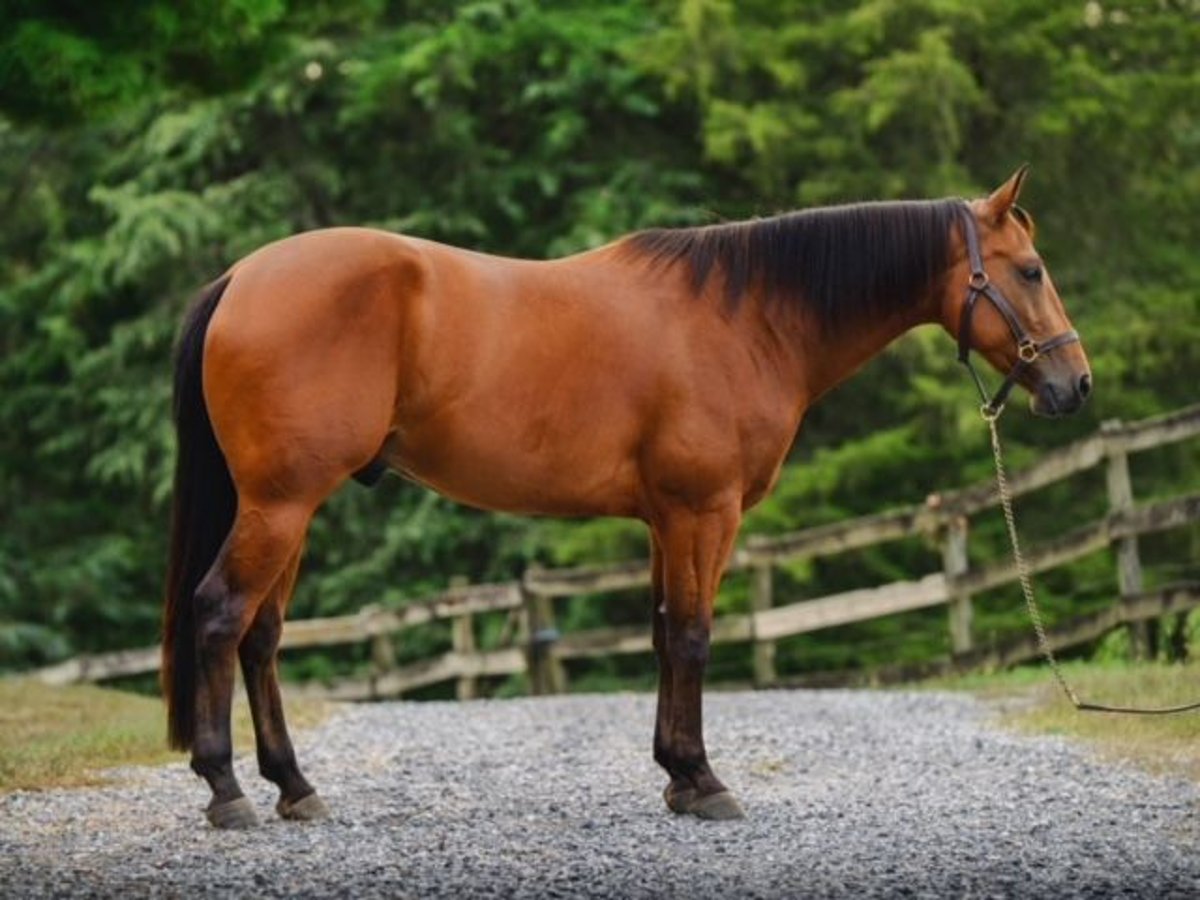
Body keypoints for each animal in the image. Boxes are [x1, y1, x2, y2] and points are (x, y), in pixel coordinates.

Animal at [162, 166, 1091, 828]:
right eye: (1032, 270)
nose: (1075, 385)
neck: (745, 319)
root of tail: (240, 277)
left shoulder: (661, 522)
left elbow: (660, 634)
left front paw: (676, 775)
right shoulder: (704, 512)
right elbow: (693, 637)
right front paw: (705, 782)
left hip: (287, 509)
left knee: (260, 637)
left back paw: (294, 787)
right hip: (280, 504)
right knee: (219, 615)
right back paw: (227, 791)